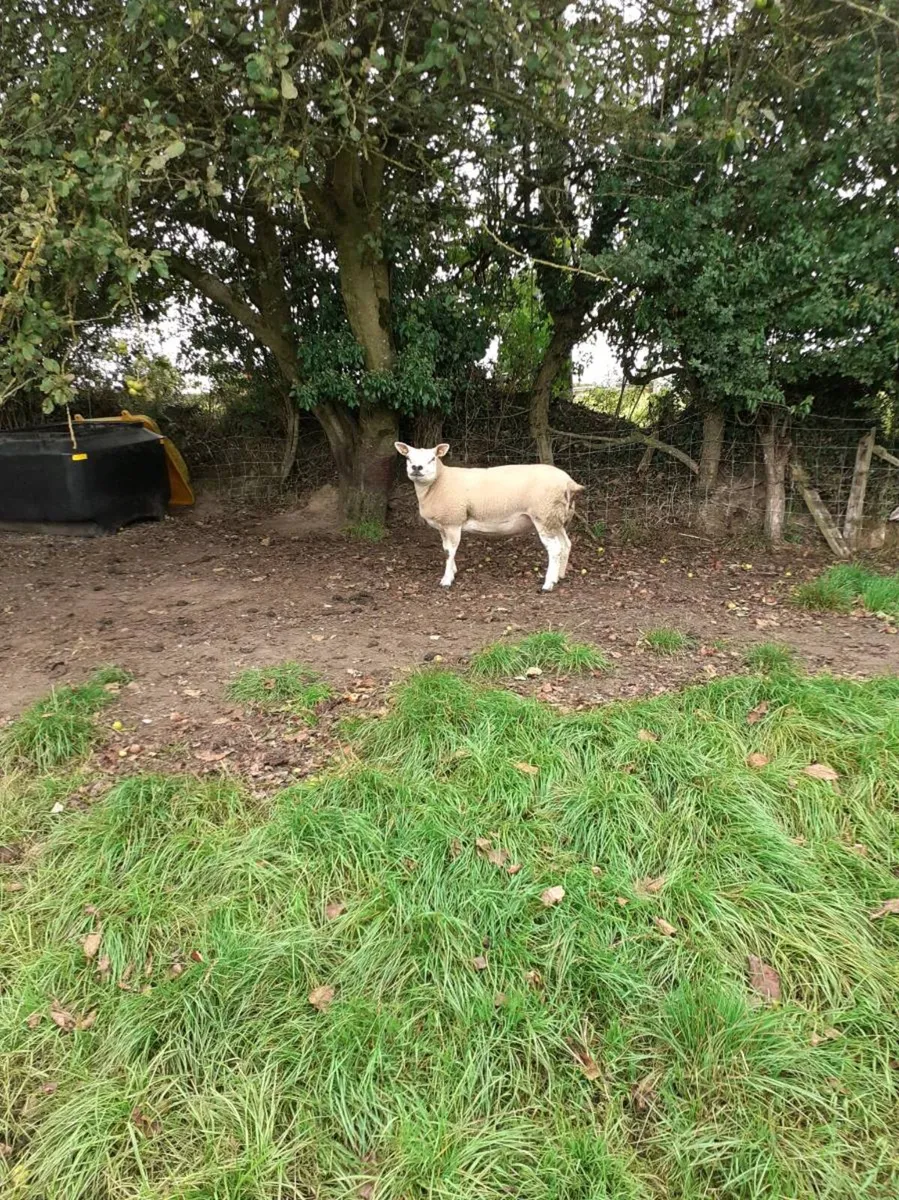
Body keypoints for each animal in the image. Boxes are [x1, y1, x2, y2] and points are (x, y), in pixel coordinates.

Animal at [395, 442, 584, 591]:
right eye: (408, 458)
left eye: (432, 458)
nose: (416, 468)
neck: (439, 482)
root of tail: (569, 482)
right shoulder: (444, 524)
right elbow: (446, 550)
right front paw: (453, 571)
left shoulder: (453, 521)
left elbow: (450, 551)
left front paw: (447, 580)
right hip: (555, 518)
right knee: (566, 544)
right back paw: (559, 576)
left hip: (543, 515)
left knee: (555, 549)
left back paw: (548, 584)